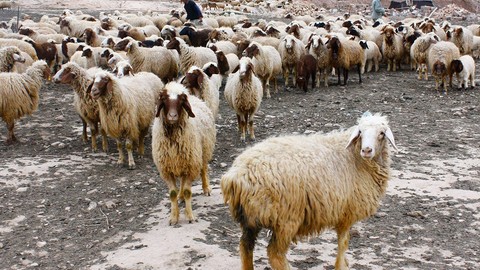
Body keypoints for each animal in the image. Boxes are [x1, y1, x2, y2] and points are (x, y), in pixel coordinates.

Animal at [152, 82, 216, 226]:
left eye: (181, 100)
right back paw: (180, 196)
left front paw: (190, 216)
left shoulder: (191, 165)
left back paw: (206, 188)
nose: (172, 116)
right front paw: (173, 218)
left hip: (203, 151)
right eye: (164, 99)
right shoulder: (167, 170)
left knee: (204, 169)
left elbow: (188, 192)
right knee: (181, 180)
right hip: (182, 161)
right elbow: (172, 194)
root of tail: (195, 98)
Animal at [221, 111, 398, 270]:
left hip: (250, 218)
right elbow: (343, 242)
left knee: (245, 246)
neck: (356, 158)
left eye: (382, 133)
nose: (366, 150)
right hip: (286, 219)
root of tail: (236, 175)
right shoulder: (346, 213)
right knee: (275, 254)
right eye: (360, 132)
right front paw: (341, 265)